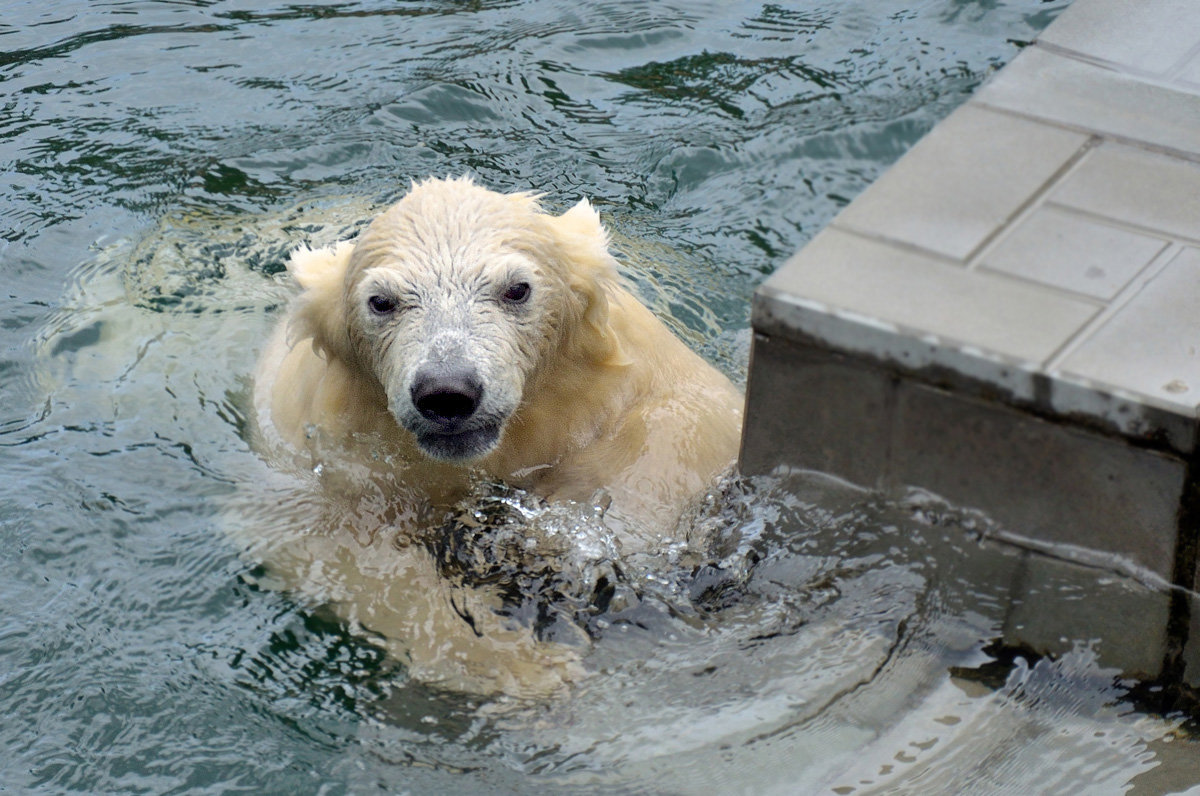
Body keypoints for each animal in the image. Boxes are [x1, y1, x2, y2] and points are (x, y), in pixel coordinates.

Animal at [249, 176, 744, 696]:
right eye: (381, 301)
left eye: (517, 288)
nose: (447, 391)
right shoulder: (327, 454)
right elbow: (348, 553)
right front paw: (527, 665)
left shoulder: (635, 373)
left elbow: (682, 426)